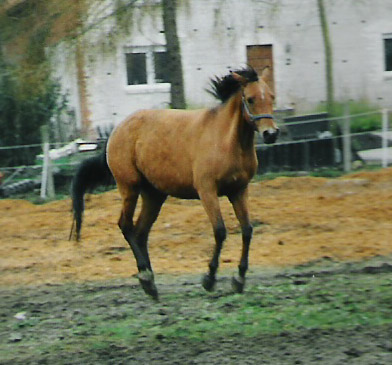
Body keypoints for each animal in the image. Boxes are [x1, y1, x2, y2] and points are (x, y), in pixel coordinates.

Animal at [106, 66, 278, 298]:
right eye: (250, 99)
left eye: (271, 97)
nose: (271, 134)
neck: (227, 141)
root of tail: (118, 129)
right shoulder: (207, 190)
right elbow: (220, 231)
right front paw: (209, 278)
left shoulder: (239, 190)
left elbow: (247, 230)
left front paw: (239, 279)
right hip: (129, 187)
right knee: (126, 226)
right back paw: (145, 276)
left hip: (154, 195)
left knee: (141, 232)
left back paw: (150, 283)